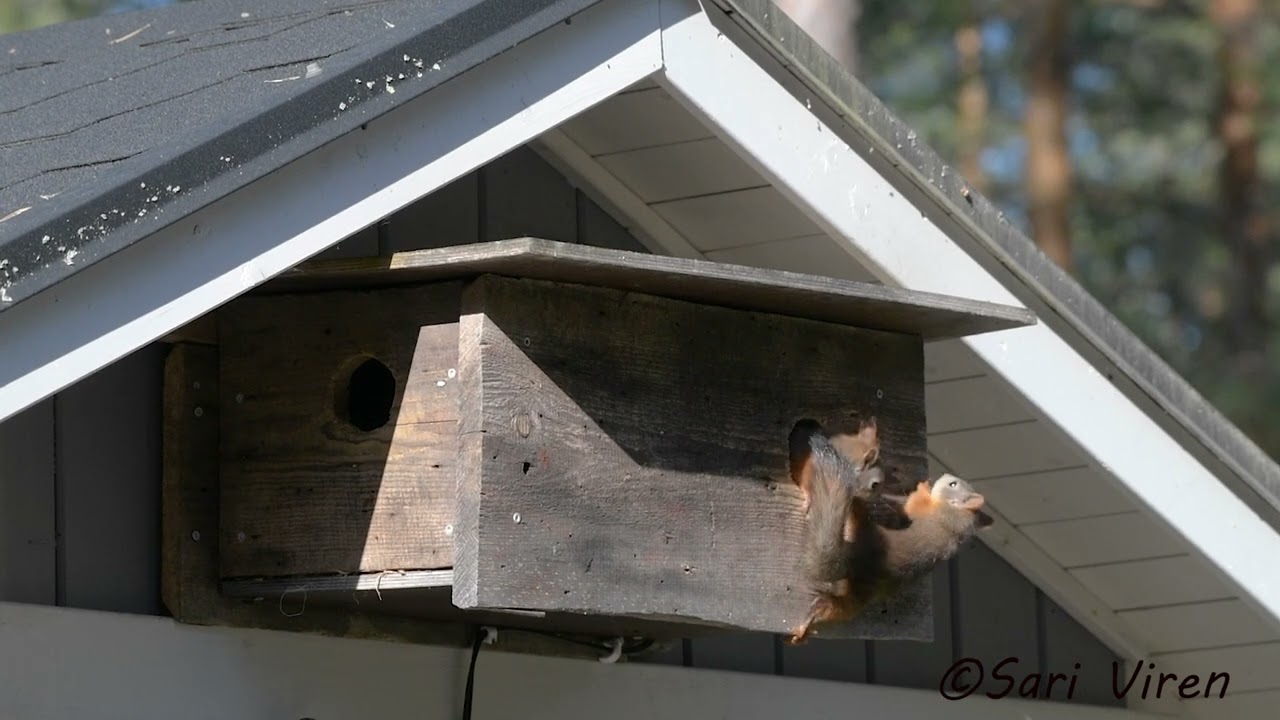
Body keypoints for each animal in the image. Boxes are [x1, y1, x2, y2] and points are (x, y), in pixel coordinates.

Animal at [787, 419, 993, 645]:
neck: (958, 518)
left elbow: (914, 505)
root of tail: (859, 561)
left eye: (952, 484)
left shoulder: (930, 513)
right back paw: (805, 626)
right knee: (837, 609)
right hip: (860, 592)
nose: (944, 475)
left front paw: (922, 488)